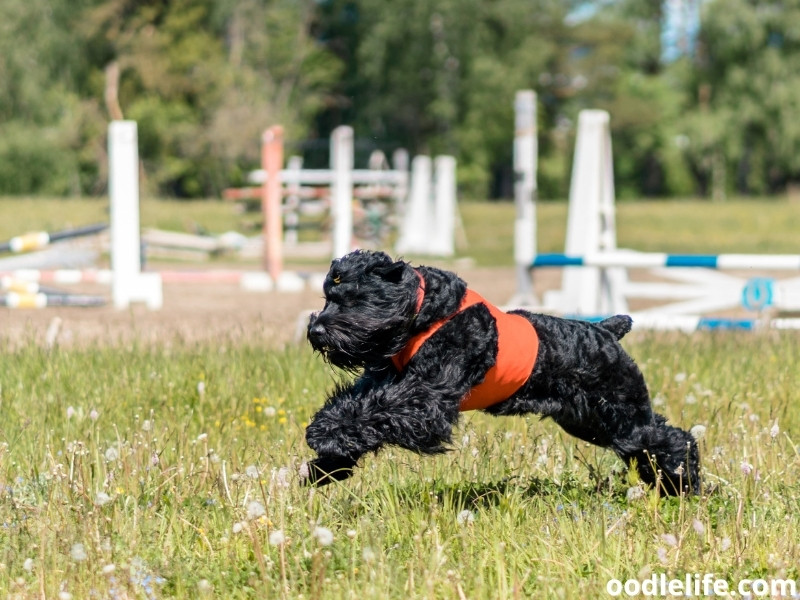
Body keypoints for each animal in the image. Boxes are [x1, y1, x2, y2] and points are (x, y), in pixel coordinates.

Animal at [300, 251, 700, 494]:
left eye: (353, 298)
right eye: (327, 296)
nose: (315, 331)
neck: (426, 313)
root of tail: (606, 331)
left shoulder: (426, 400)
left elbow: (377, 412)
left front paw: (323, 438)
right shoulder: (383, 382)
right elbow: (355, 406)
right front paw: (326, 465)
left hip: (620, 415)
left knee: (675, 439)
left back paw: (686, 484)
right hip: (593, 422)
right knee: (653, 438)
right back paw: (668, 484)